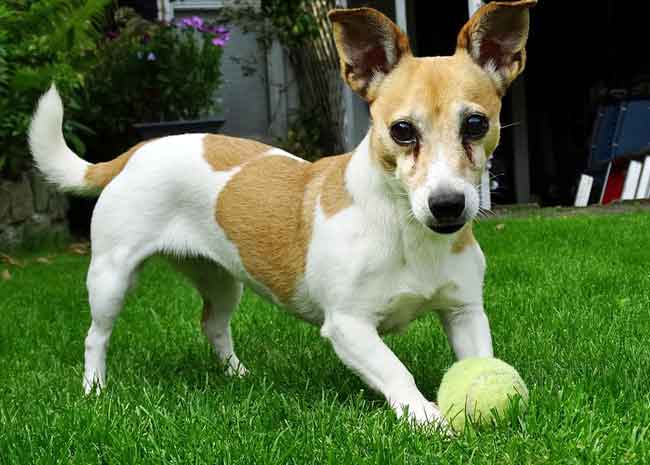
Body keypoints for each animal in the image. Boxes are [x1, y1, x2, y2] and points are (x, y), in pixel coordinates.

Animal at [27, 0, 536, 428]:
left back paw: (238, 375)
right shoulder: (348, 327)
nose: (447, 204)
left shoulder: (464, 312)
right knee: (96, 336)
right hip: (111, 278)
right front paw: (428, 418)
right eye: (402, 131)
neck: (407, 231)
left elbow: (479, 359)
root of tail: (139, 149)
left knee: (213, 325)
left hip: (221, 278)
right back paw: (95, 389)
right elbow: (396, 371)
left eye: (476, 124)